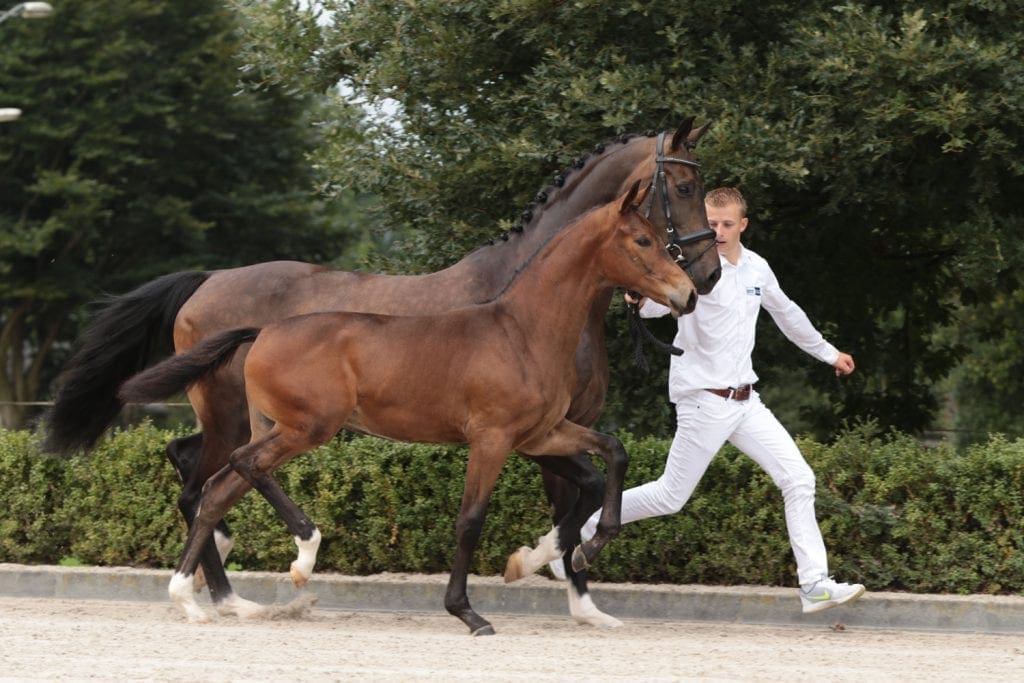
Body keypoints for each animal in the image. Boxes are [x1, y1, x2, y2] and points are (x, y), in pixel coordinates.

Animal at [44, 120, 720, 626]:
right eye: (684, 186)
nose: (703, 281)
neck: (523, 311)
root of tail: (208, 281)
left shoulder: (551, 429)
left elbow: (595, 478)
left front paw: (570, 586)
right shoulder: (509, 435)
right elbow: (537, 506)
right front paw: (527, 577)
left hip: (254, 420)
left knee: (202, 474)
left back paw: (232, 593)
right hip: (255, 418)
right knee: (206, 478)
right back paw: (257, 574)